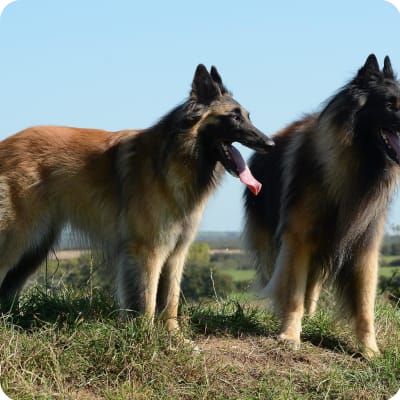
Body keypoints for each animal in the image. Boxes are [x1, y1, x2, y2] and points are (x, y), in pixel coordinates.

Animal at [0, 64, 276, 332]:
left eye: (248, 116)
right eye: (234, 116)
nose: (270, 144)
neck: (176, 156)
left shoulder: (176, 252)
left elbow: (170, 299)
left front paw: (174, 336)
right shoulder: (148, 250)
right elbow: (147, 300)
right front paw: (145, 336)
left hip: (35, 247)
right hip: (18, 238)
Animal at [242, 54, 400, 356]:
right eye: (389, 104)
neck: (358, 164)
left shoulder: (364, 247)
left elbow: (365, 306)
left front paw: (370, 351)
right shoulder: (298, 239)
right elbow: (293, 294)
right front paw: (289, 336)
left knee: (313, 285)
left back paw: (313, 315)